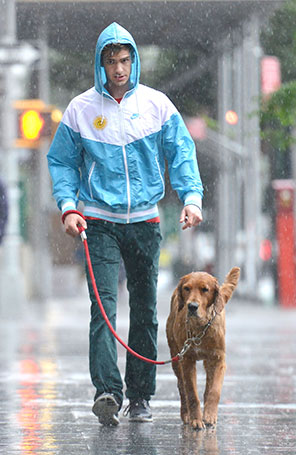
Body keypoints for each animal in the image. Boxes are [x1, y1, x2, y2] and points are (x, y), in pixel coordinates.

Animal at [166, 268, 240, 432]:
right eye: (187, 288)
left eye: (205, 289)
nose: (192, 306)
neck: (200, 328)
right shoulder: (186, 360)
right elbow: (192, 393)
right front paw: (196, 420)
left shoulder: (218, 360)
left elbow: (214, 391)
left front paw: (210, 416)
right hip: (175, 357)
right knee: (181, 387)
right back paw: (186, 414)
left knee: (207, 388)